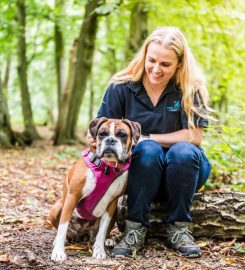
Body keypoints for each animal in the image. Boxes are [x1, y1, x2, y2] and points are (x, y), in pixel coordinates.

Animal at [48, 117, 141, 262]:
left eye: (122, 134)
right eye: (102, 134)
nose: (110, 140)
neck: (106, 167)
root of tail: (81, 235)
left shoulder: (112, 203)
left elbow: (102, 230)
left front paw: (99, 250)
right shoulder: (72, 197)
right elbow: (63, 226)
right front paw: (58, 252)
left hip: (116, 210)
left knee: (103, 232)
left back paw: (108, 240)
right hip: (57, 207)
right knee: (63, 229)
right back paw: (61, 241)